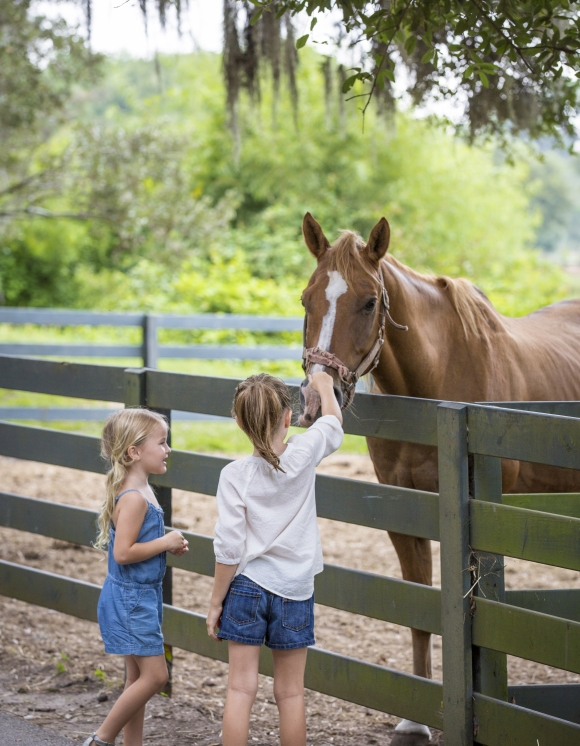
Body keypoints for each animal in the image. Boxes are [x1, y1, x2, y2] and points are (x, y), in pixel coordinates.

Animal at [296, 212, 580, 740]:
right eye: (307, 298)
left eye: (369, 301)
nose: (317, 396)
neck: (436, 379)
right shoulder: (404, 509)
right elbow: (419, 608)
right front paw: (414, 722)